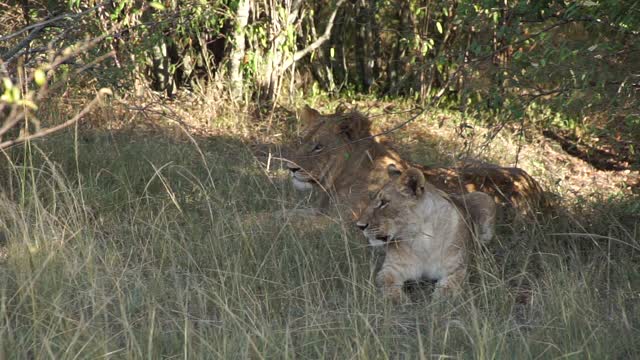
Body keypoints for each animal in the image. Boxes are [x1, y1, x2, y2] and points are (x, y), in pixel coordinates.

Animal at [358, 166, 498, 300]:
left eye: (384, 203)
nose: (359, 226)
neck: (421, 238)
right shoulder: (391, 268)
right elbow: (387, 284)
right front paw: (399, 301)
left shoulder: (458, 269)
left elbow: (448, 290)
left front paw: (438, 302)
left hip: (485, 198)